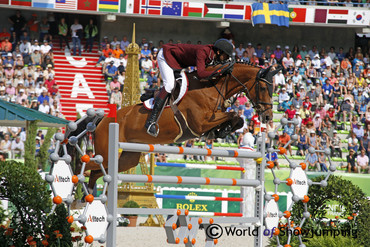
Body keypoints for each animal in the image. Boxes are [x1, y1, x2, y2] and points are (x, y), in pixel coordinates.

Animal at [71, 63, 278, 189]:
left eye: (272, 88)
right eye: (262, 88)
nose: (268, 116)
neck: (211, 88)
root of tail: (103, 120)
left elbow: (237, 118)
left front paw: (222, 130)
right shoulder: (199, 123)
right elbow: (234, 114)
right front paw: (221, 130)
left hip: (126, 159)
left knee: (97, 173)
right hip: (107, 154)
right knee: (86, 164)